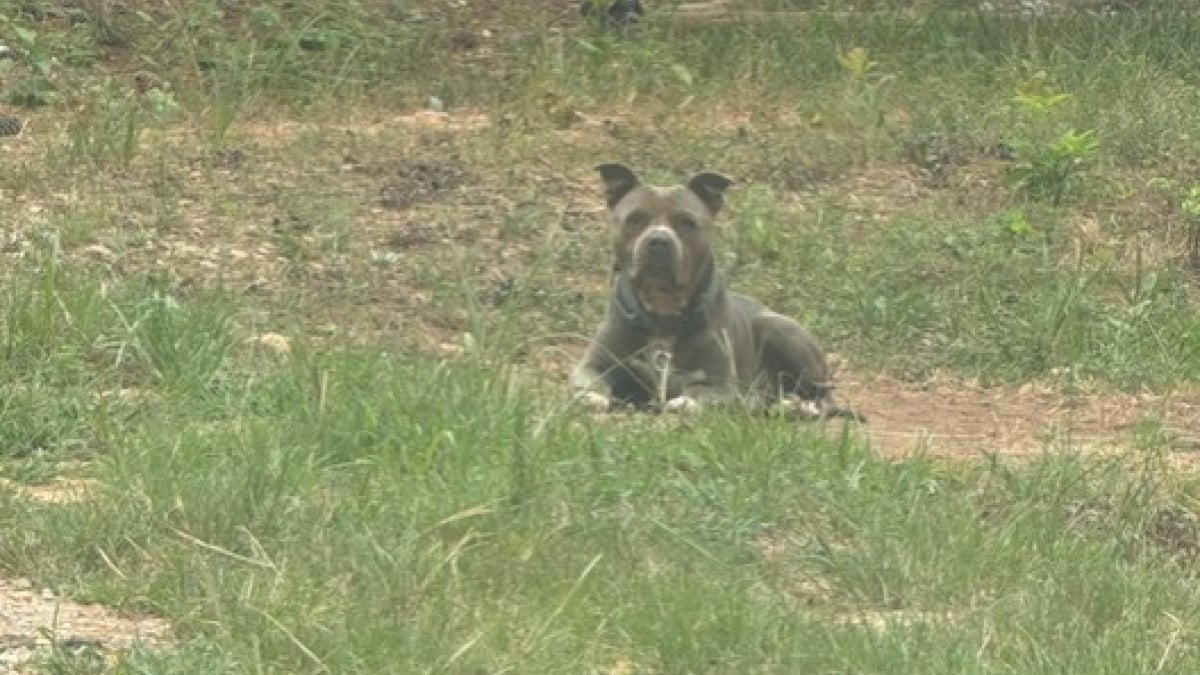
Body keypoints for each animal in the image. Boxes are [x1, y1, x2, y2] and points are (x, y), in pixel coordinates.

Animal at [568, 162, 864, 420]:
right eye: (635, 219)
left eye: (687, 222)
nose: (659, 240)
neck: (664, 314)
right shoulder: (594, 364)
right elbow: (590, 380)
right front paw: (591, 397)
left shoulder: (721, 383)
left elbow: (701, 392)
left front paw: (686, 402)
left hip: (780, 330)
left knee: (823, 396)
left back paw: (801, 407)